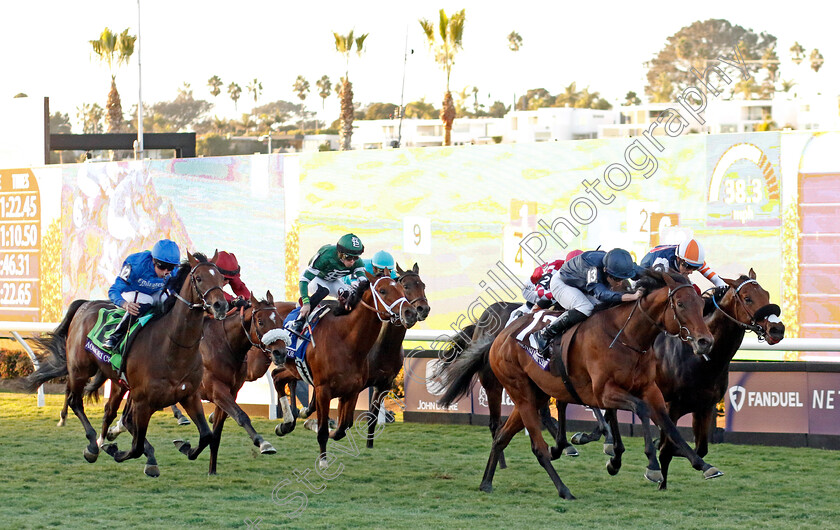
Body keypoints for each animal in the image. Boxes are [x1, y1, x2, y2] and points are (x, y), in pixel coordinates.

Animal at [26, 252, 230, 474]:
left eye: (222, 279)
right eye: (199, 278)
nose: (221, 305)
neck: (173, 347)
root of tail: (85, 304)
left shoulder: (189, 395)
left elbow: (206, 436)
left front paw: (184, 447)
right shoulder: (143, 401)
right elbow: (136, 446)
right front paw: (115, 451)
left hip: (117, 381)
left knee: (109, 410)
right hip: (80, 369)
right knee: (75, 401)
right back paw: (92, 445)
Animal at [270, 270, 416, 464]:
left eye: (401, 288)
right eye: (383, 291)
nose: (410, 313)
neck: (346, 341)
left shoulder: (352, 391)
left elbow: (343, 428)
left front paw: (320, 427)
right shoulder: (323, 390)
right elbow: (323, 430)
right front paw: (323, 461)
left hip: (294, 369)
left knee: (277, 376)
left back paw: (286, 424)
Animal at [446, 270, 716, 498]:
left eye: (701, 304)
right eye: (680, 304)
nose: (705, 341)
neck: (626, 337)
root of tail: (498, 337)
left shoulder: (649, 389)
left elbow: (667, 423)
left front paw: (703, 464)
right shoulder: (604, 392)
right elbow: (640, 409)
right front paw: (651, 465)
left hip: (535, 394)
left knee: (502, 436)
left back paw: (486, 482)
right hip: (519, 391)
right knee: (537, 446)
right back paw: (564, 489)